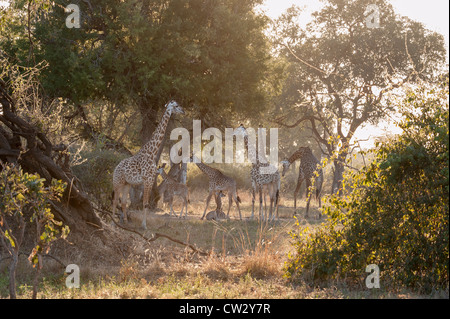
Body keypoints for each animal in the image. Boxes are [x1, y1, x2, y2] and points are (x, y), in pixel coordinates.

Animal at [112, 101, 185, 229]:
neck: (152, 152)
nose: (183, 110)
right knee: (115, 201)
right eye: (175, 106)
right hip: (117, 182)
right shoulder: (147, 180)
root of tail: (115, 168)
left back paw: (125, 222)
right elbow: (145, 203)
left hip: (127, 184)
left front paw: (143, 224)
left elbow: (146, 204)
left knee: (124, 202)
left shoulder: (150, 180)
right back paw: (112, 222)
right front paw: (144, 225)